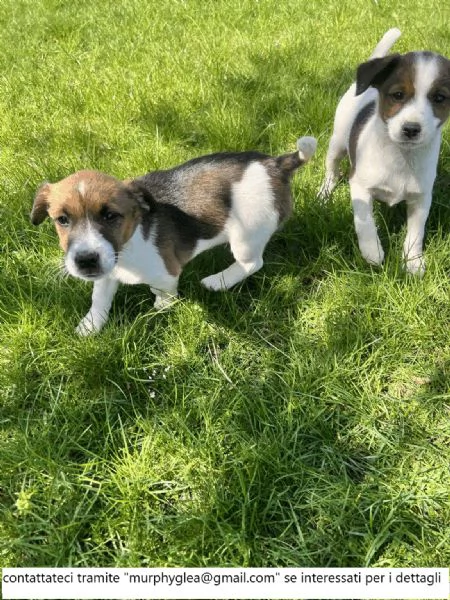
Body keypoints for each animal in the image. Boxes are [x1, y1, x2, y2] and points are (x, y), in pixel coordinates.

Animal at [31, 137, 316, 336]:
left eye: (111, 216)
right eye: (62, 220)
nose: (86, 261)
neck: (128, 248)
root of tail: (275, 165)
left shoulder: (166, 274)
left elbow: (162, 293)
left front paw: (161, 309)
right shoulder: (106, 272)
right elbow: (99, 299)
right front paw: (90, 326)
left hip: (247, 235)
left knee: (252, 263)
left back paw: (218, 281)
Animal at [318, 27, 450, 274]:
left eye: (439, 98)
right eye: (398, 95)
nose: (411, 129)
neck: (401, 156)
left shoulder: (421, 198)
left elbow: (416, 233)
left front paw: (413, 261)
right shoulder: (359, 185)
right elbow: (365, 221)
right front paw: (372, 251)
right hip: (337, 143)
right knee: (332, 170)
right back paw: (325, 192)